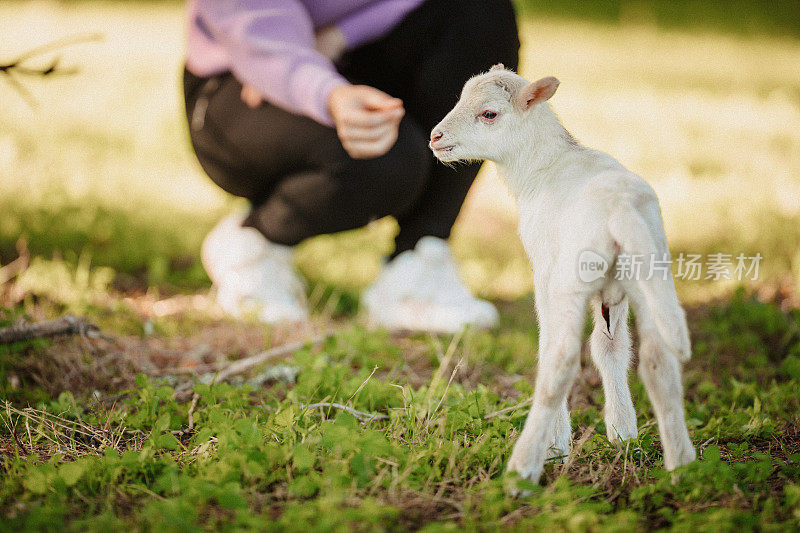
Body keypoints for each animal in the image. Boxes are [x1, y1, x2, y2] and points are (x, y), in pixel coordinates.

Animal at [428, 64, 696, 484]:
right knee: (656, 361)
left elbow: (548, 345)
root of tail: (620, 209)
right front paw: (622, 433)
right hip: (651, 272)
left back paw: (527, 466)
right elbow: (611, 349)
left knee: (561, 361)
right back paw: (682, 468)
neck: (543, 164)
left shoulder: (544, 269)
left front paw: (558, 442)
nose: (435, 137)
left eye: (489, 114)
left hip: (573, 275)